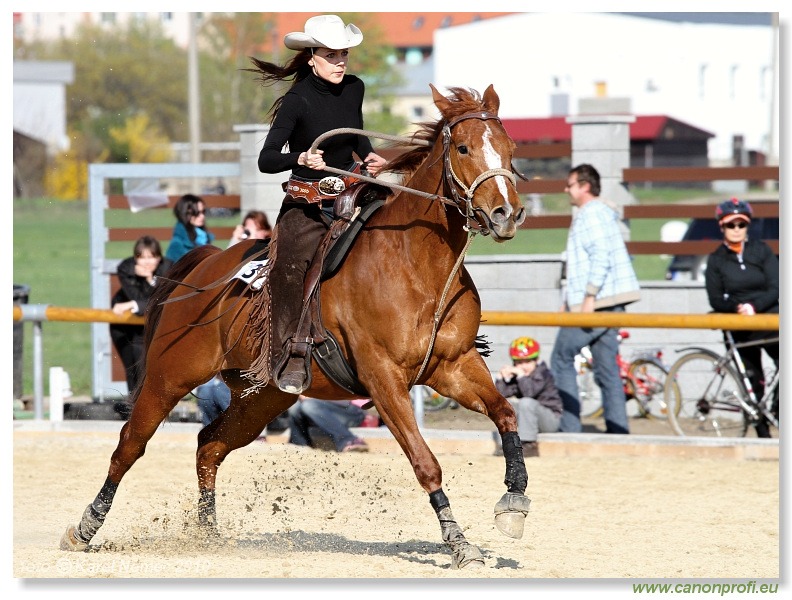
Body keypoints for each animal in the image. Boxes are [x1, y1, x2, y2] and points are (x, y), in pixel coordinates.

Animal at [60, 83, 532, 568]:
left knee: (209, 444)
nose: (505, 213)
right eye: (463, 148)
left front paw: (512, 504)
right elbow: (426, 462)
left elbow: (506, 412)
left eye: (511, 149)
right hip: (168, 377)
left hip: (262, 397)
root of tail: (205, 264)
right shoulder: (384, 379)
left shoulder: (453, 366)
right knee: (130, 445)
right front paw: (459, 543)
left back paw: (207, 533)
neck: (412, 262)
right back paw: (85, 527)